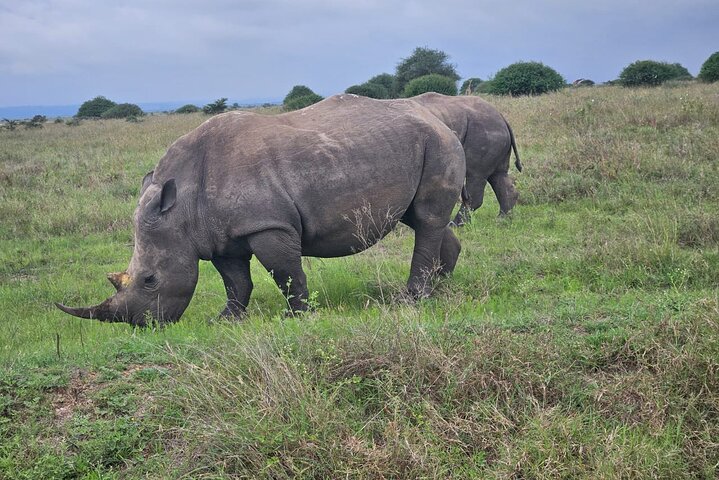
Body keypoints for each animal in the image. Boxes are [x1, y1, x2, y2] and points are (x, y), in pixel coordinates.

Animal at [56, 94, 466, 325]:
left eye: (150, 280)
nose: (142, 326)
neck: (182, 204)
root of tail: (438, 119)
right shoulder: (218, 236)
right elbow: (235, 281)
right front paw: (225, 321)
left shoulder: (268, 225)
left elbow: (284, 273)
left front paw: (296, 317)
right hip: (417, 145)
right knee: (423, 220)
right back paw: (440, 285)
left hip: (437, 143)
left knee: (426, 219)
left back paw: (411, 298)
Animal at [410, 93, 522, 225]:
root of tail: (501, 117)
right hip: (490, 130)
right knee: (498, 174)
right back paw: (502, 220)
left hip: (482, 131)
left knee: (476, 175)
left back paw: (456, 225)